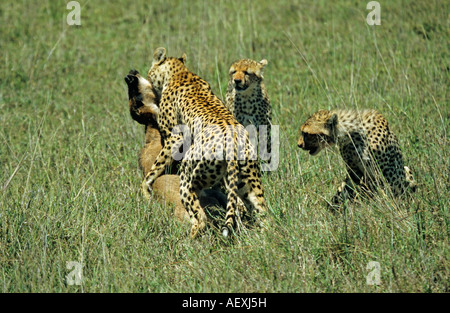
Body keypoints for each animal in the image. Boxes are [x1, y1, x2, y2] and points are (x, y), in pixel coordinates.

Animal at [142, 47, 266, 236]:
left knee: (199, 216)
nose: (148, 78)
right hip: (248, 182)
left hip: (189, 177)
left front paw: (145, 190)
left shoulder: (174, 137)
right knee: (262, 210)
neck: (180, 72)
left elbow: (155, 168)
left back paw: (187, 239)